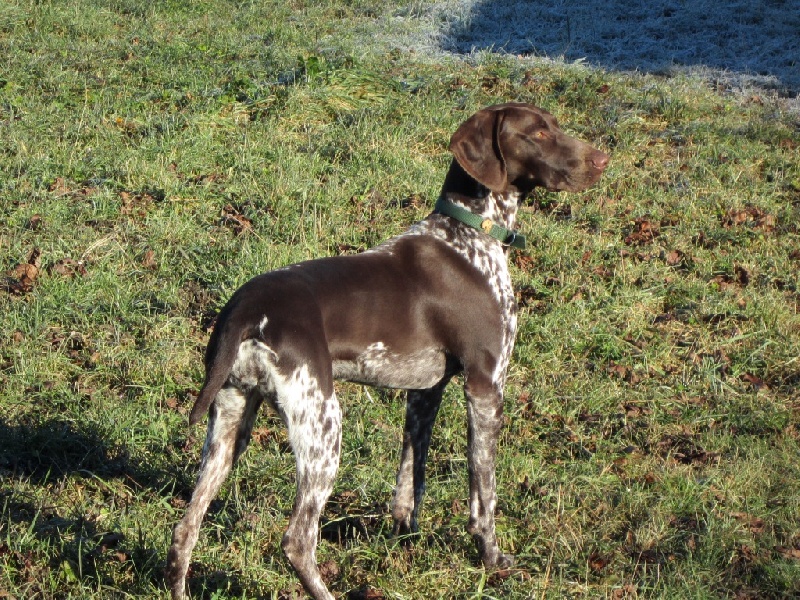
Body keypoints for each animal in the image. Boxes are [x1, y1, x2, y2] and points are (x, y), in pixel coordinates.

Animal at [167, 104, 608, 600]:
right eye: (538, 133)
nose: (602, 160)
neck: (469, 234)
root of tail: (246, 308)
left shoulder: (425, 392)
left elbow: (410, 478)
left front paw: (405, 539)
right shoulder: (485, 386)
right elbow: (484, 491)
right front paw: (492, 560)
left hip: (230, 421)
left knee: (185, 528)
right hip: (322, 425)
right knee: (297, 539)